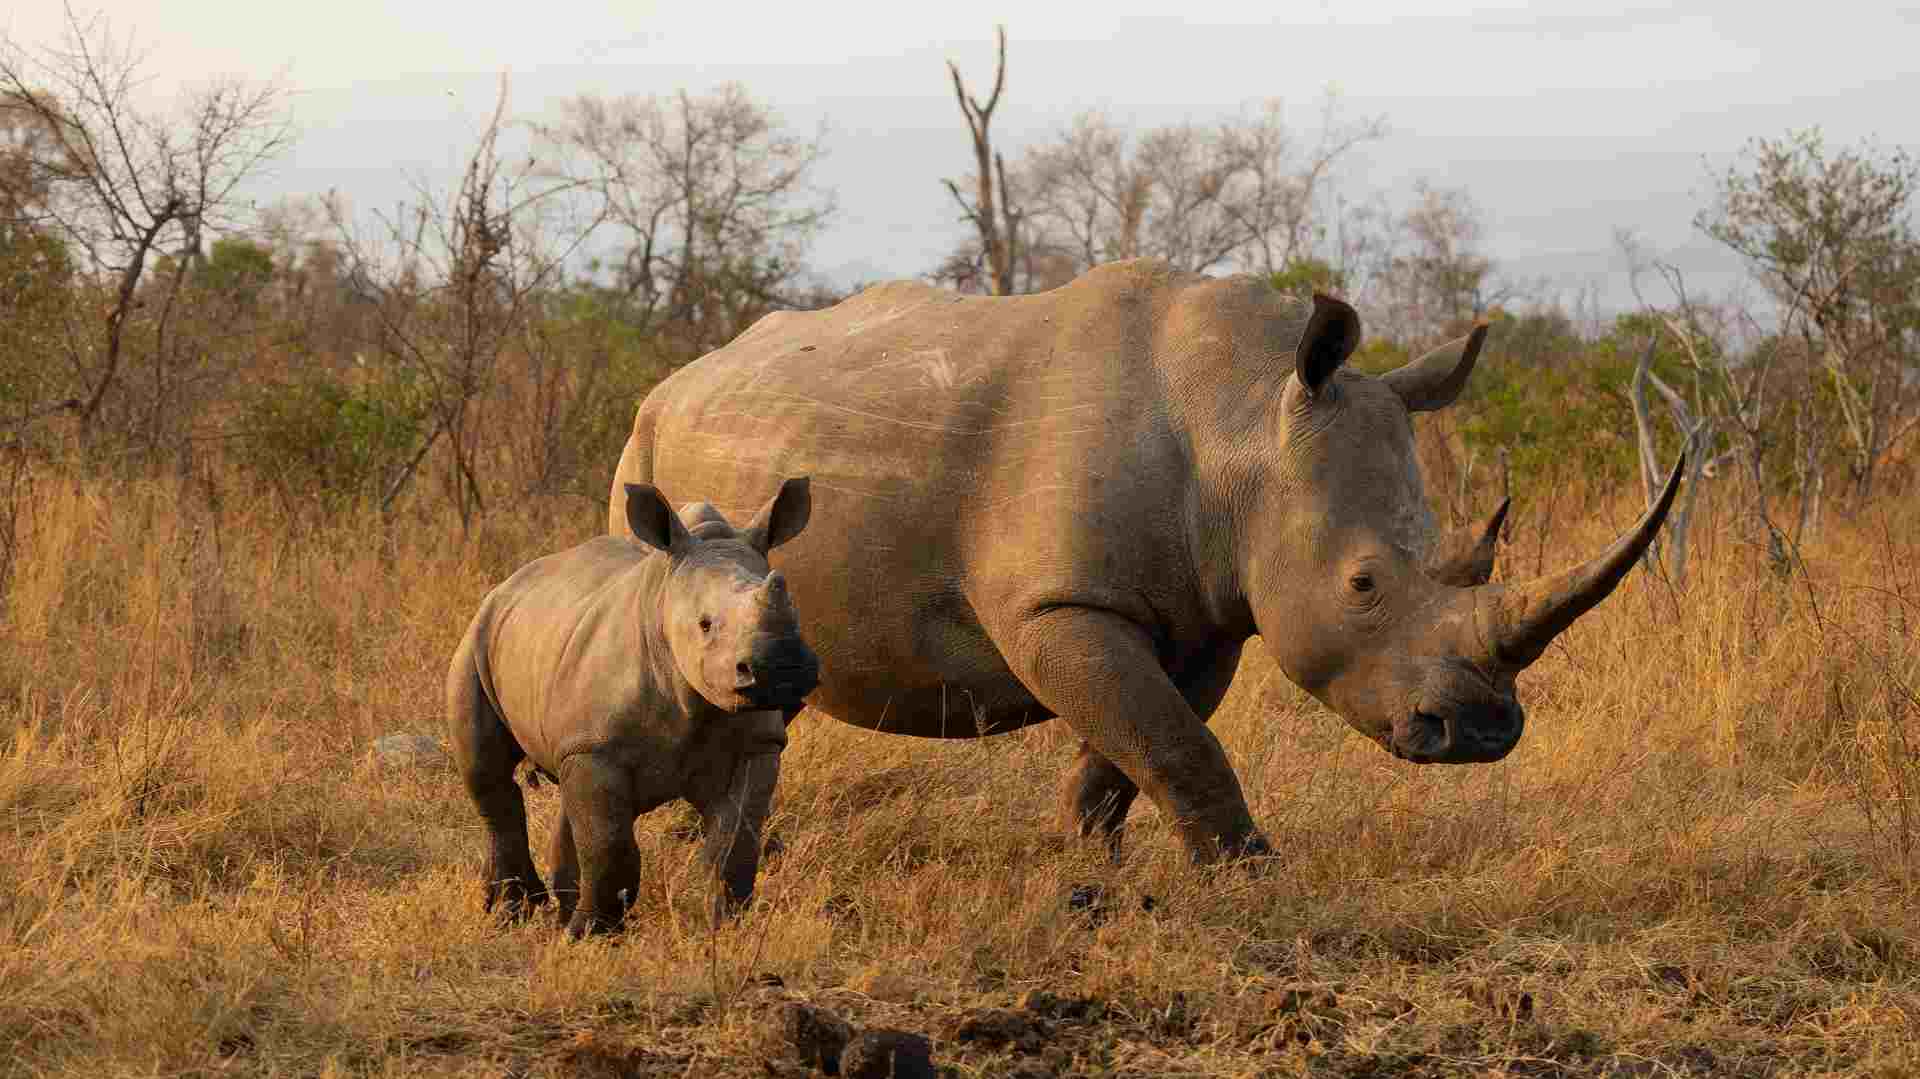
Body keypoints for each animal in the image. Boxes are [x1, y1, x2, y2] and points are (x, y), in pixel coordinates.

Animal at [448, 479, 820, 936]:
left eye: (796, 612)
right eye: (705, 624)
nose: (781, 668)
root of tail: (510, 582)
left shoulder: (757, 744)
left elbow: (734, 843)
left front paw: (724, 927)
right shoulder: (597, 747)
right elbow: (609, 846)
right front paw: (591, 935)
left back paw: (554, 909)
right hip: (477, 637)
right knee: (488, 773)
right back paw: (512, 914)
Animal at [609, 259, 1682, 863]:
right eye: (1365, 584)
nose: (1482, 731)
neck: (1243, 413)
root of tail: (677, 376)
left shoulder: (1206, 612)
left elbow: (1141, 744)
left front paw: (1089, 870)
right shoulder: (1058, 604)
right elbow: (1173, 741)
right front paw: (1252, 879)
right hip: (644, 451)